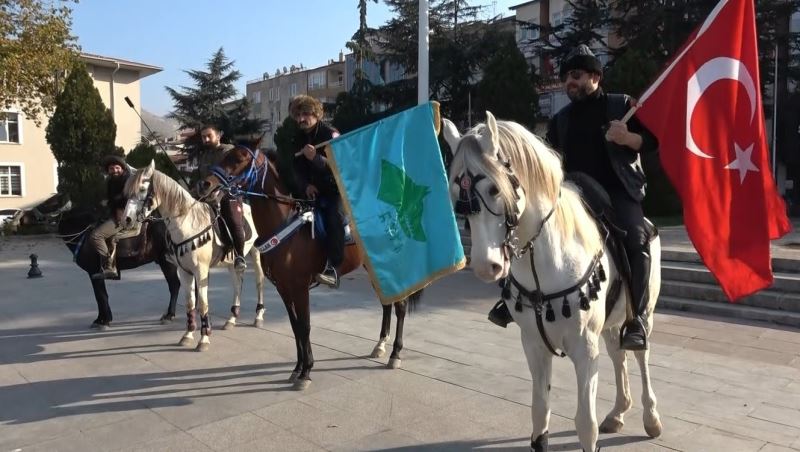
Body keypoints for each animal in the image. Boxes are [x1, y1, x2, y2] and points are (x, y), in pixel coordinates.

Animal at [122, 161, 266, 352]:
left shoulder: (201, 271)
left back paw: (258, 316)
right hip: (231, 262)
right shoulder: (185, 271)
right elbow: (190, 303)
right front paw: (188, 335)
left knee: (259, 281)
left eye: (143, 189)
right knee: (237, 284)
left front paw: (204, 339)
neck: (186, 223)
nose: (127, 219)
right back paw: (232, 318)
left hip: (256, 253)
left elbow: (203, 304)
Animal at [200, 147, 422, 390]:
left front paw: (306, 373)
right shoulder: (283, 288)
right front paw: (297, 369)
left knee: (400, 306)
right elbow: (296, 326)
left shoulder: (299, 288)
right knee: (387, 303)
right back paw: (380, 345)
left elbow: (305, 326)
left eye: (239, 158)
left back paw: (395, 354)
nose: (205, 184)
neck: (283, 227)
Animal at [444, 114, 664, 452]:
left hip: (644, 313)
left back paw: (651, 417)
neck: (546, 262)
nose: (485, 266)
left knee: (641, 354)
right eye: (457, 195)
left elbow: (585, 424)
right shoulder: (534, 345)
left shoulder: (585, 348)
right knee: (618, 354)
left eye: (494, 189)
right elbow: (539, 413)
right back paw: (618, 412)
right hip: (611, 323)